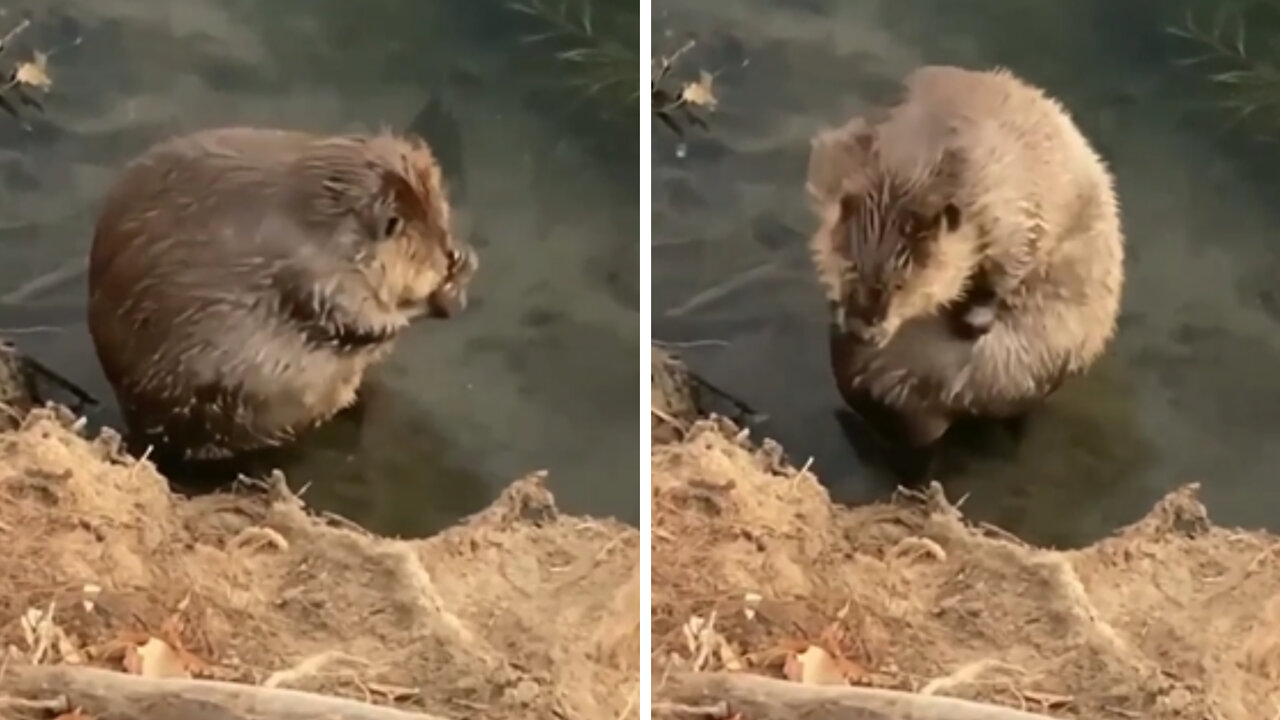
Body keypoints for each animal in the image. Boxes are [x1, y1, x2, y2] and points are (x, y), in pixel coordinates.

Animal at [87, 124, 481, 458]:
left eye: (442, 222)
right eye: (424, 247)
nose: (449, 255)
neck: (323, 219)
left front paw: (465, 262)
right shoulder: (313, 272)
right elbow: (355, 321)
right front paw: (441, 298)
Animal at [803, 67, 1126, 458]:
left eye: (903, 284)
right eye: (850, 266)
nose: (861, 331)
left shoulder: (1011, 202)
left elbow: (1014, 259)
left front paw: (973, 316)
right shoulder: (840, 157)